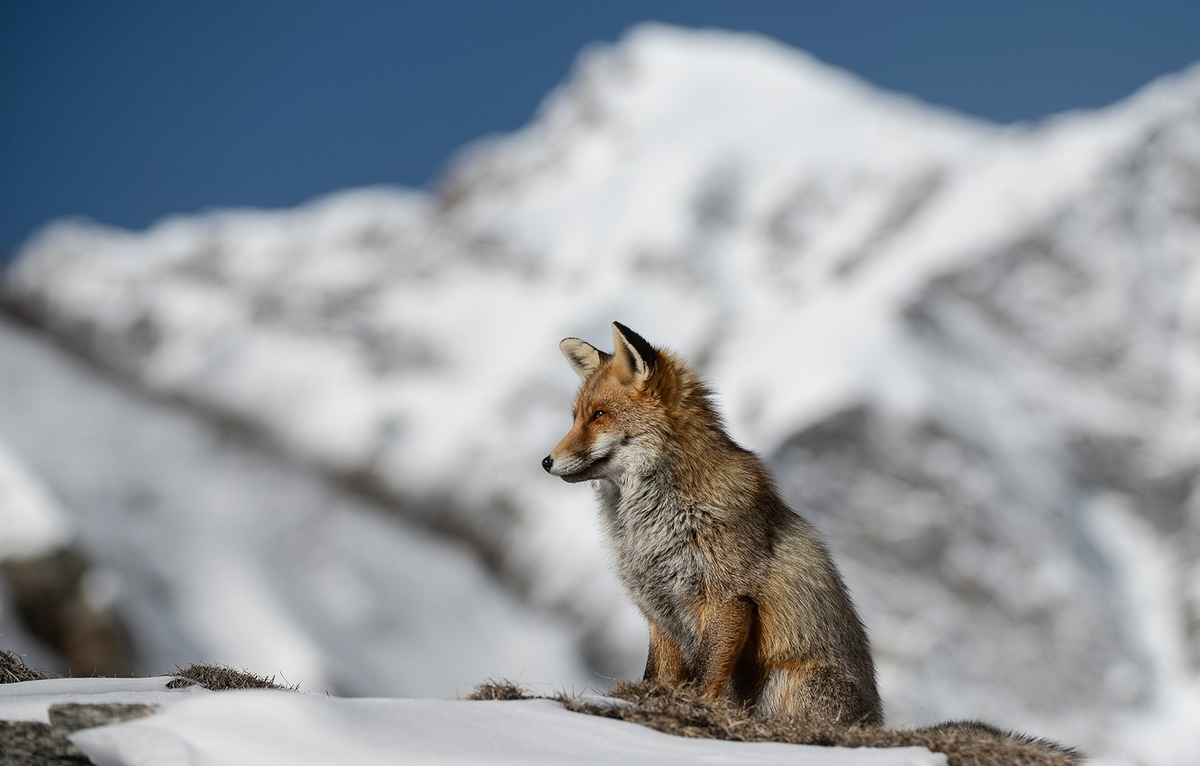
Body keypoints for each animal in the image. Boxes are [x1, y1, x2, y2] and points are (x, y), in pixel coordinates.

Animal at [544, 321, 883, 725]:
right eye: (576, 417)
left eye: (598, 415)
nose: (546, 462)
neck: (651, 528)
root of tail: (877, 720)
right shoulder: (660, 610)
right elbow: (656, 675)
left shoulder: (728, 597)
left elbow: (707, 676)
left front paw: (692, 709)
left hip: (783, 682)